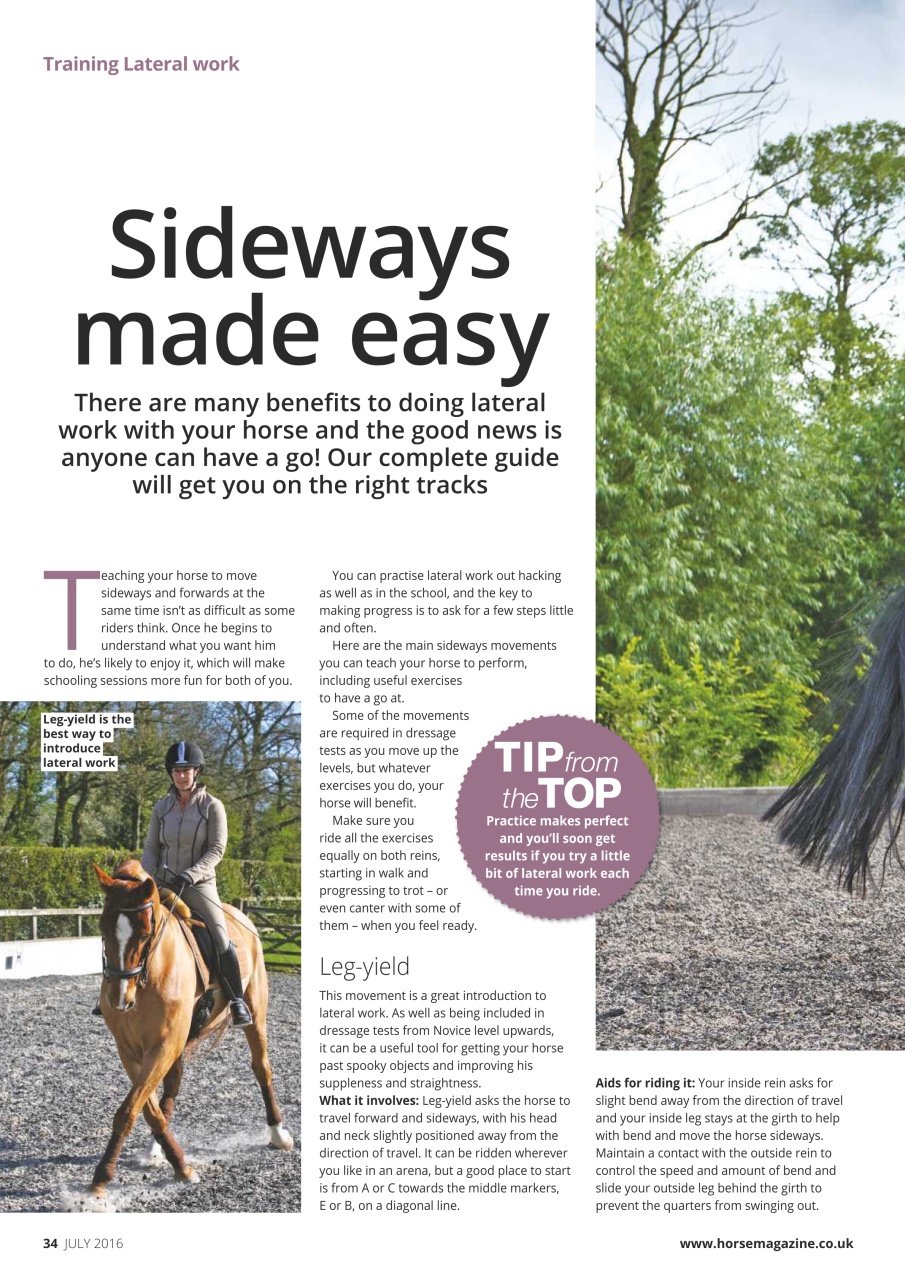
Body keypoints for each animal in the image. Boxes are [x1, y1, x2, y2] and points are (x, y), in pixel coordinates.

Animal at [89, 859, 293, 1199]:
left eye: (145, 934)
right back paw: (157, 1149)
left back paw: (279, 1135)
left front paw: (101, 1177)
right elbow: (147, 1108)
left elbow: (128, 1110)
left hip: (256, 1014)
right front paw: (178, 1164)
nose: (119, 999)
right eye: (103, 928)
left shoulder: (163, 1045)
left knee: (261, 1068)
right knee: (172, 1085)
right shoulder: (130, 1050)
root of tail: (241, 916)